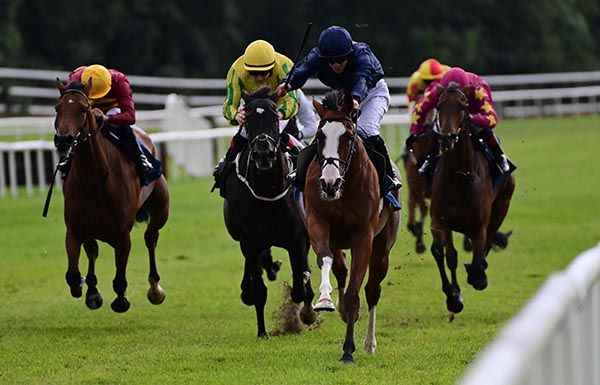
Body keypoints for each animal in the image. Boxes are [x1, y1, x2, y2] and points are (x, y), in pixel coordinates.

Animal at [53, 80, 169, 312]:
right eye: (57, 108)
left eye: (84, 108)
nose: (63, 140)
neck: (95, 181)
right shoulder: (75, 228)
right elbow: (73, 273)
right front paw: (89, 290)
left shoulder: (122, 234)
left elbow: (120, 276)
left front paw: (121, 300)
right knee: (94, 250)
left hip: (161, 209)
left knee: (151, 237)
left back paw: (155, 289)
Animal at [221, 86, 316, 336]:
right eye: (248, 119)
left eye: (275, 118)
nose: (264, 153)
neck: (268, 191)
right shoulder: (250, 240)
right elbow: (259, 289)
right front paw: (262, 331)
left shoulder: (297, 239)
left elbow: (300, 285)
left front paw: (306, 311)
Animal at [308, 90, 400, 364]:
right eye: (320, 136)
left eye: (348, 137)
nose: (328, 183)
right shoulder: (317, 221)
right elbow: (325, 258)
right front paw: (325, 299)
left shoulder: (364, 237)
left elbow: (353, 295)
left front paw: (348, 350)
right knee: (340, 267)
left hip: (382, 246)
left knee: (372, 290)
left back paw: (370, 343)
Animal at [432, 82, 516, 316]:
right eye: (439, 106)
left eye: (463, 107)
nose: (447, 137)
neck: (459, 176)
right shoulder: (440, 220)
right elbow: (444, 254)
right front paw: (453, 297)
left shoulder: (479, 224)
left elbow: (479, 253)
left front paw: (477, 276)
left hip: (502, 204)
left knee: (489, 238)